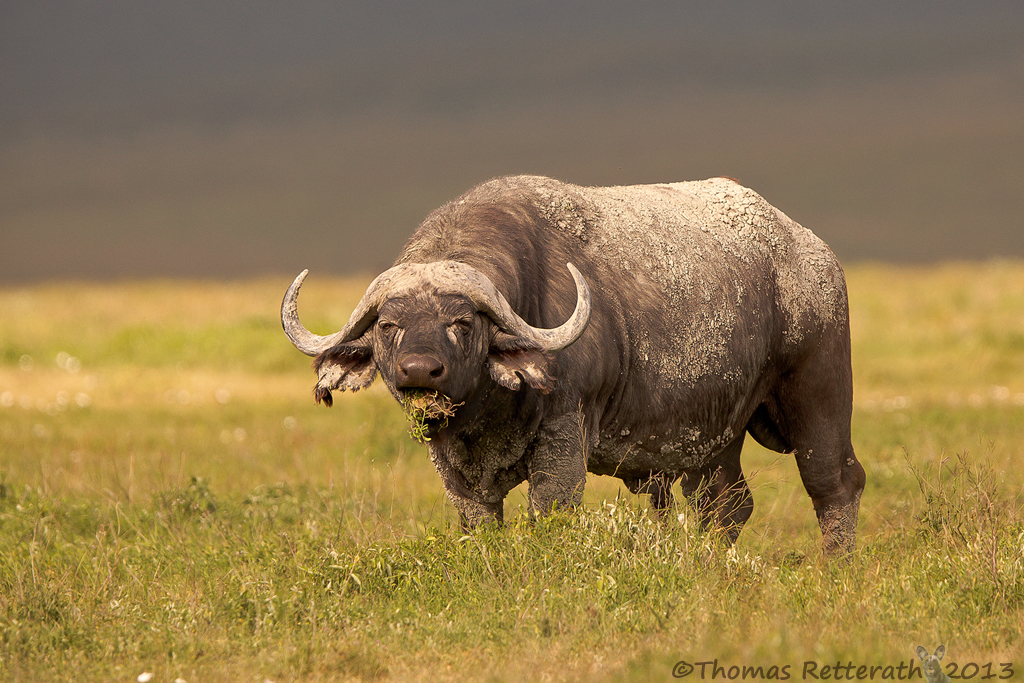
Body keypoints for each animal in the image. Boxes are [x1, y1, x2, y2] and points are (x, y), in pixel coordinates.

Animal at [284, 174, 868, 552]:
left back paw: (835, 568)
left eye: (463, 323)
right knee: (725, 506)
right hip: (711, 437)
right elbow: (478, 524)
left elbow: (550, 515)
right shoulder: (452, 468)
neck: (488, 414)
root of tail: (814, 254)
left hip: (819, 392)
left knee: (835, 482)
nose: (419, 371)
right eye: (388, 326)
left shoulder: (564, 440)